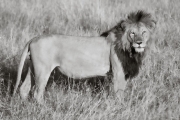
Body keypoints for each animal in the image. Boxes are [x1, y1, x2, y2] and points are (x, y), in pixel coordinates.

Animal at [13, 10, 155, 103]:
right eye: (132, 33)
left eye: (144, 32)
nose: (139, 42)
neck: (131, 50)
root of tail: (33, 38)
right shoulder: (119, 72)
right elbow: (119, 94)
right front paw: (121, 107)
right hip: (43, 70)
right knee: (37, 94)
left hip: (33, 68)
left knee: (23, 89)